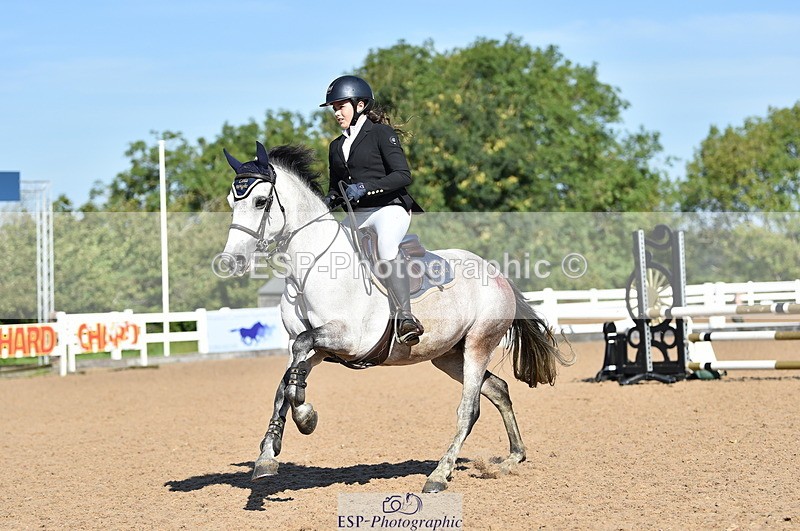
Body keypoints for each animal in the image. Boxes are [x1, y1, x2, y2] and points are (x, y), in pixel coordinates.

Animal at [219, 141, 572, 493]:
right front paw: (268, 454)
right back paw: (513, 457)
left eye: (261, 201)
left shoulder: (348, 339)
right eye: (231, 202)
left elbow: (297, 364)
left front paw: (305, 417)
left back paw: (439, 475)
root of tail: (496, 272)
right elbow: (286, 381)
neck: (312, 268)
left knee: (469, 409)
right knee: (498, 389)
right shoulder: (317, 347)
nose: (230, 261)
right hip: (447, 355)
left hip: (478, 344)